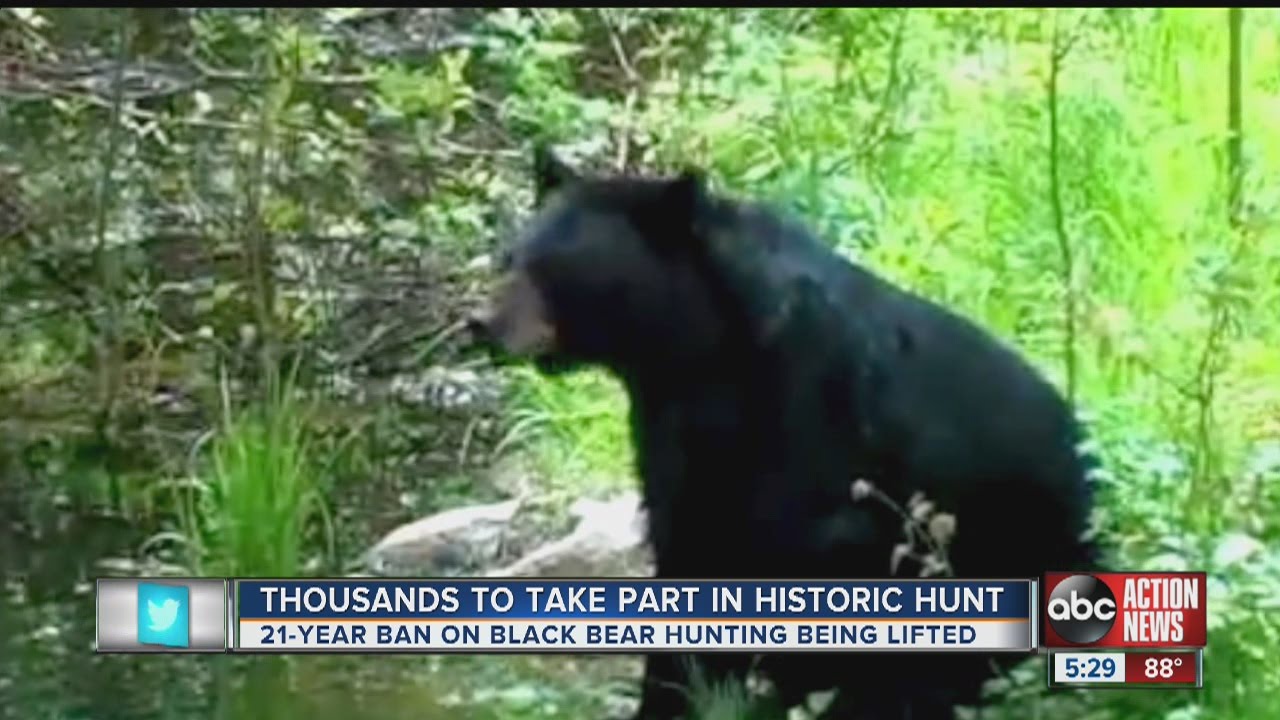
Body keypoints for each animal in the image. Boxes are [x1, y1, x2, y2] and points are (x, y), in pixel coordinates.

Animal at [469, 147, 1101, 720]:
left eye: (556, 268)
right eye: (510, 257)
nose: (481, 324)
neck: (700, 357)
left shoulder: (815, 419)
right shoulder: (675, 439)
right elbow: (688, 552)